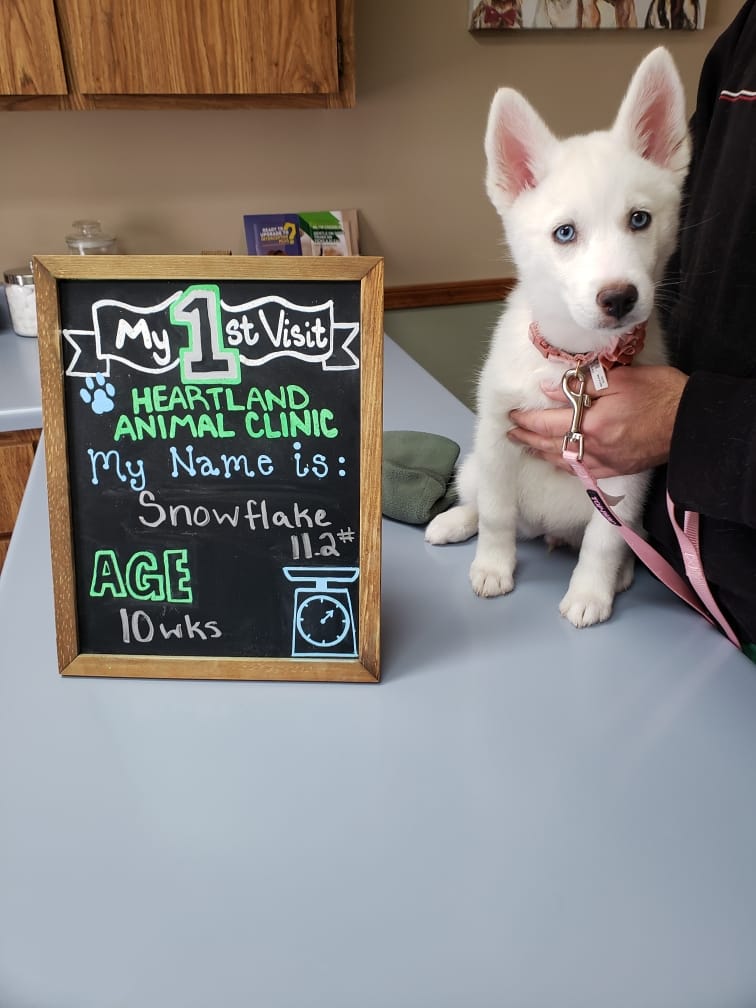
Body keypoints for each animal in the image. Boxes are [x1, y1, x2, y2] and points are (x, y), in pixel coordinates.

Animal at [425, 48, 690, 628]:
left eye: (640, 219)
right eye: (564, 233)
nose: (619, 298)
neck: (573, 360)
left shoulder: (623, 473)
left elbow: (603, 541)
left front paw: (591, 591)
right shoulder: (498, 436)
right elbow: (497, 515)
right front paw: (492, 566)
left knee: (622, 537)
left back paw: (624, 572)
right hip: (476, 465)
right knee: (479, 498)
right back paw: (456, 521)